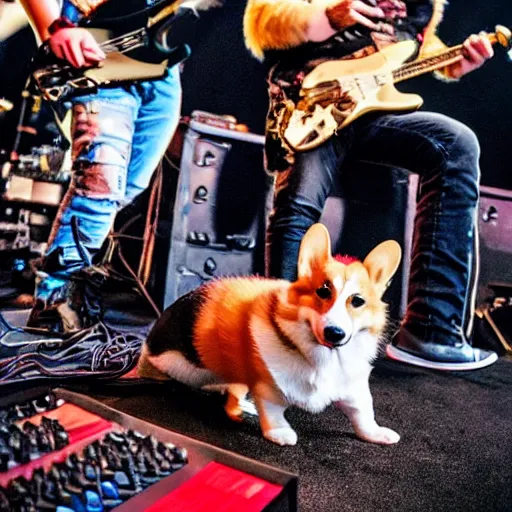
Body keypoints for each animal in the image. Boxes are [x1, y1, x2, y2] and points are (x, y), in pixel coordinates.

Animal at [138, 223, 402, 444]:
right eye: (323, 291)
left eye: (357, 301)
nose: (334, 333)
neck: (321, 357)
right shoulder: (268, 388)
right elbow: (273, 412)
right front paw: (280, 433)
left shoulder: (353, 389)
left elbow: (363, 413)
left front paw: (375, 433)